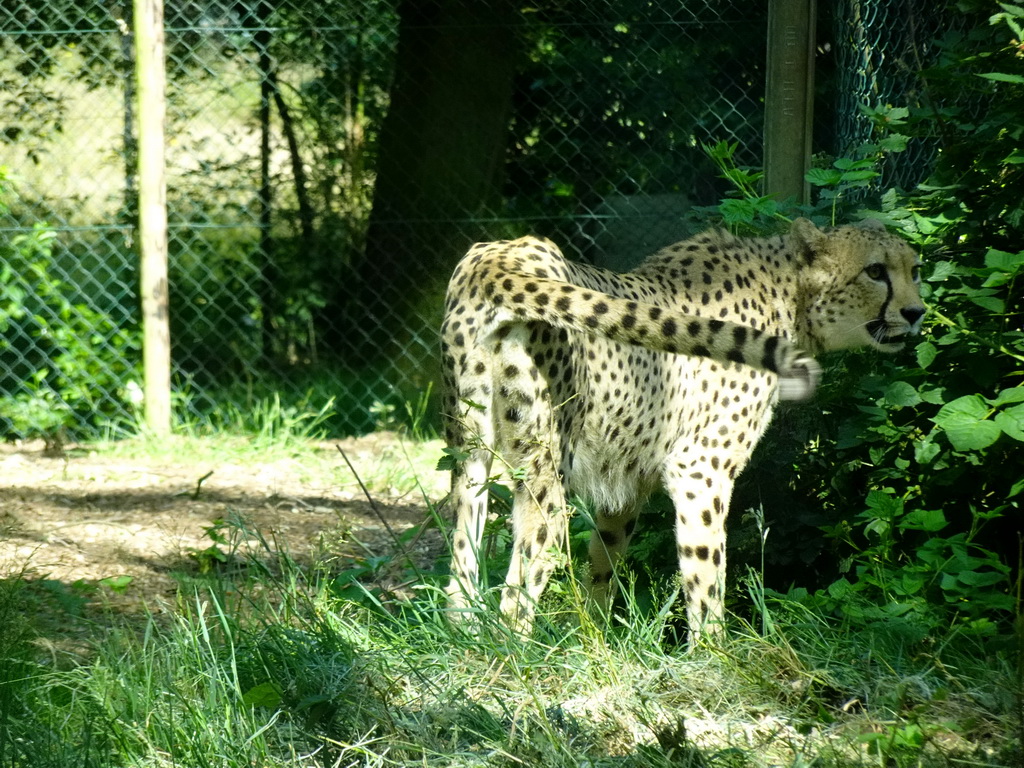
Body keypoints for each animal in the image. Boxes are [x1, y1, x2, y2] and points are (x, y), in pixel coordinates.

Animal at [444, 217, 925, 638]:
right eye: (875, 271)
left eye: (914, 269)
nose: (916, 312)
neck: (789, 293)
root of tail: (502, 255)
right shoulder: (699, 469)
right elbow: (705, 576)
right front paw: (717, 659)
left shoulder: (625, 487)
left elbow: (605, 563)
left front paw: (596, 642)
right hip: (546, 475)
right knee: (519, 589)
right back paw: (514, 663)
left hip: (469, 455)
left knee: (460, 567)